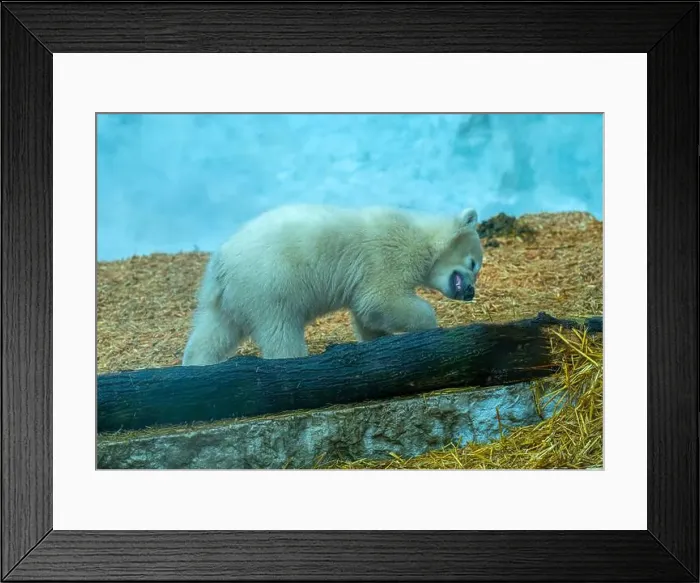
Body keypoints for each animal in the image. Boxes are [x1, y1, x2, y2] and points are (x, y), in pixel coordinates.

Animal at [181, 203, 483, 365]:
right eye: (473, 265)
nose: (470, 292)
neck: (421, 234)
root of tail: (220, 263)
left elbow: (367, 313)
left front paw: (378, 341)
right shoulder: (388, 254)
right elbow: (380, 299)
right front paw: (430, 326)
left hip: (231, 297)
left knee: (215, 331)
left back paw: (197, 366)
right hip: (268, 285)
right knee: (280, 332)